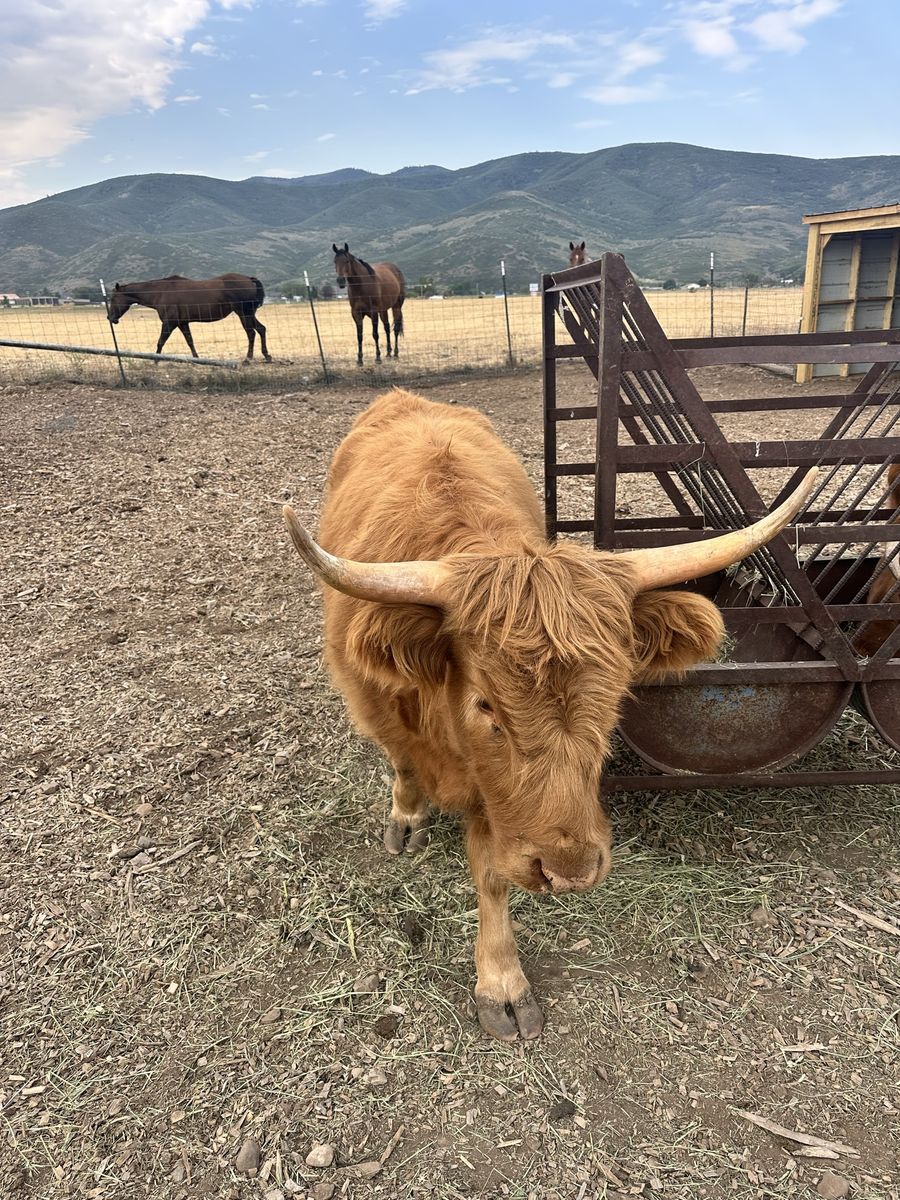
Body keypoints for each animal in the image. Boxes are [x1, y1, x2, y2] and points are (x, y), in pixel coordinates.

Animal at [283, 389, 816, 1041]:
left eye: (615, 696)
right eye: (485, 703)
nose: (570, 870)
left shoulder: (498, 804)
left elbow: (491, 871)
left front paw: (501, 981)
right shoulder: (376, 705)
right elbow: (403, 765)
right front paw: (406, 817)